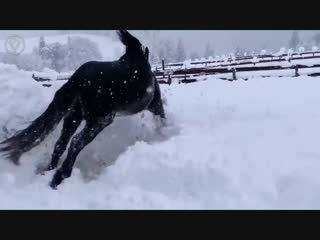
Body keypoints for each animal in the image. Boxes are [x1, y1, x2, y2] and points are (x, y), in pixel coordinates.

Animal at [0, 30, 168, 188]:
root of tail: (78, 78)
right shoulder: (155, 105)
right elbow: (162, 119)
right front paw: (164, 133)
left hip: (74, 116)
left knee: (61, 143)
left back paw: (49, 171)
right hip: (100, 121)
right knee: (75, 143)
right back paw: (59, 177)